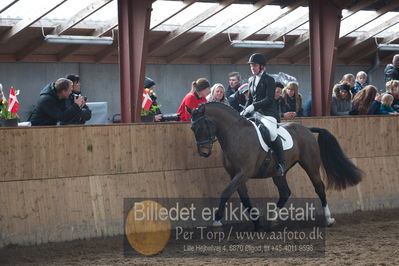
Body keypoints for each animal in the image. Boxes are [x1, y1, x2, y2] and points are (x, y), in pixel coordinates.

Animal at [189, 103, 364, 230]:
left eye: (203, 125)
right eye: (192, 128)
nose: (204, 153)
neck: (236, 135)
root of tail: (306, 129)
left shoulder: (244, 173)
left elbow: (225, 192)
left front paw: (217, 220)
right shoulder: (235, 175)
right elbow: (245, 199)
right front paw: (257, 224)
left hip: (310, 165)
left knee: (319, 188)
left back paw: (328, 219)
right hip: (278, 172)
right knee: (285, 192)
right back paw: (273, 219)